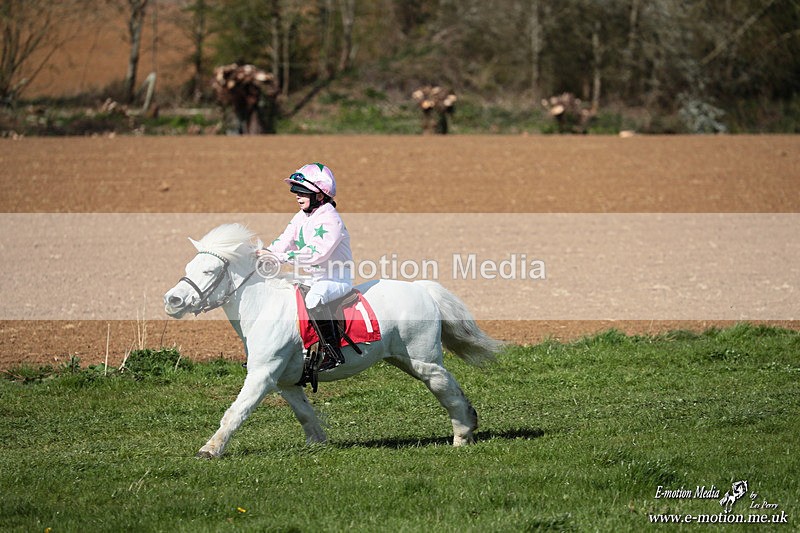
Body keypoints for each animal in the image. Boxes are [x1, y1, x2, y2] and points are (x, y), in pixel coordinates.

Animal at [163, 223, 502, 458]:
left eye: (209, 270)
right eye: (188, 267)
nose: (172, 301)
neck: (263, 307)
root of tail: (422, 288)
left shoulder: (262, 374)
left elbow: (235, 412)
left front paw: (210, 449)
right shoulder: (285, 381)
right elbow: (305, 413)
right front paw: (317, 444)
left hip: (424, 360)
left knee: (447, 389)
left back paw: (462, 435)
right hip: (404, 359)